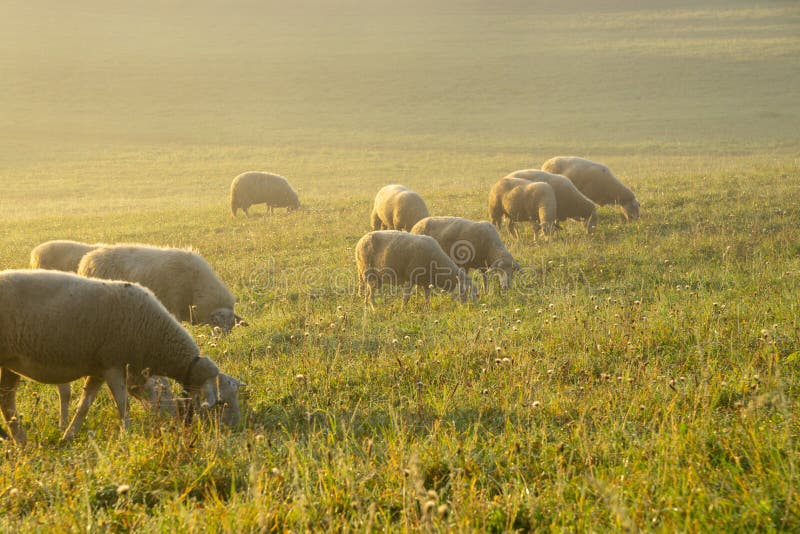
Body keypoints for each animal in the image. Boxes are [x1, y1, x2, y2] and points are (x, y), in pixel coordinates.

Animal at [0, 270, 244, 446]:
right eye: (222, 403)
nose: (236, 428)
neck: (156, 335)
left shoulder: (98, 369)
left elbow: (84, 405)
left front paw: (68, 436)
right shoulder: (113, 364)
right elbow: (122, 403)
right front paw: (125, 435)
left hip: (9, 365)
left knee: (6, 401)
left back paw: (20, 442)